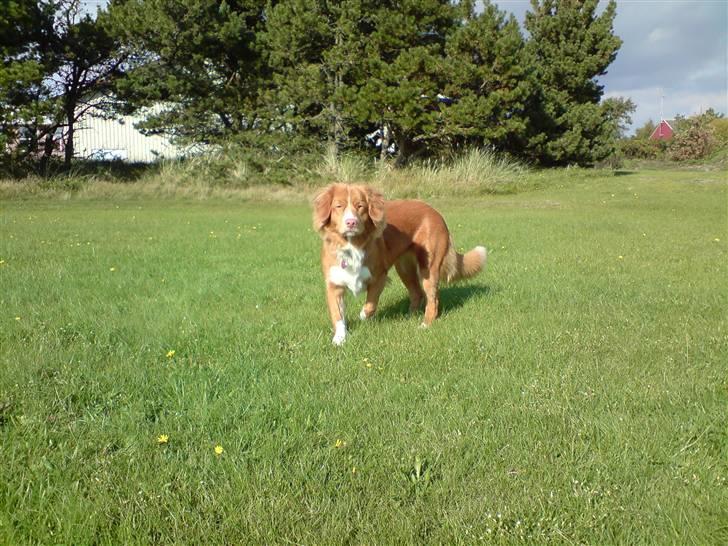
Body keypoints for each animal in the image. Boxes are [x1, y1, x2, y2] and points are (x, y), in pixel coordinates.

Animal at [312, 183, 486, 344]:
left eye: (360, 206)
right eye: (338, 206)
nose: (351, 222)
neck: (351, 246)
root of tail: (434, 211)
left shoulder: (379, 277)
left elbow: (370, 305)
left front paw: (362, 316)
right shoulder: (334, 283)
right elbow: (338, 315)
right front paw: (339, 339)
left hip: (428, 267)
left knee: (432, 299)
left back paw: (425, 324)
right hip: (404, 268)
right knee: (416, 292)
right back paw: (409, 317)